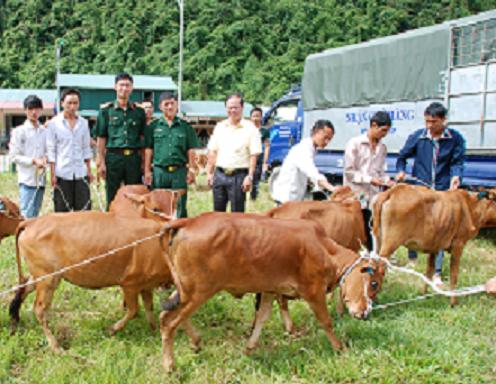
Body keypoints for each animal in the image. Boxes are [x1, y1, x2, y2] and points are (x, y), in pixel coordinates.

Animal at [158, 214, 384, 370]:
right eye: (373, 283)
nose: (365, 313)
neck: (325, 249)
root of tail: (189, 221)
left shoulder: (269, 291)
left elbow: (262, 318)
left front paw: (249, 348)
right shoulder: (313, 291)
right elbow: (326, 321)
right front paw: (339, 348)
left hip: (185, 291)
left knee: (167, 314)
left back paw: (195, 343)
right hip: (199, 291)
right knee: (169, 321)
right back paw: (170, 365)